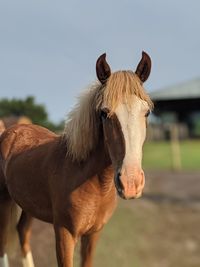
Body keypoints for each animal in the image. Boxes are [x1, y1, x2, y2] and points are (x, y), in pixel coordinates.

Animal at [0, 51, 153, 266]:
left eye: (146, 112)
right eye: (104, 113)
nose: (131, 183)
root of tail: (12, 130)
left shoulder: (93, 234)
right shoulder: (64, 233)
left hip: (28, 206)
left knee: (22, 232)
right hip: (4, 201)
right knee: (3, 244)